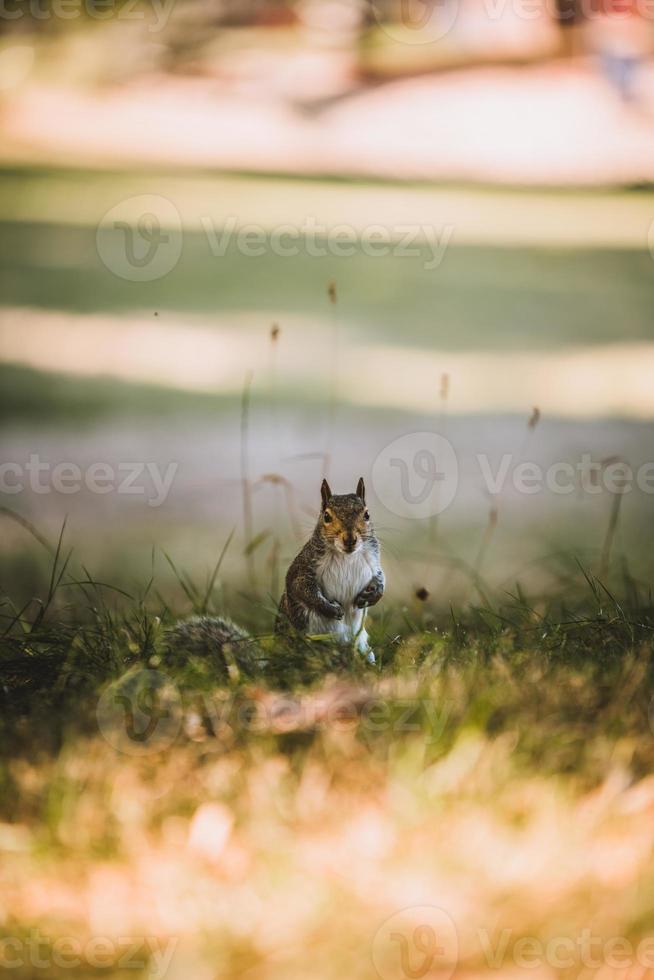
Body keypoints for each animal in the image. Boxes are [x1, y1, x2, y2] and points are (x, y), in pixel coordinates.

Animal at [276, 478, 384, 664]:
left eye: (367, 515)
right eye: (326, 516)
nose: (349, 539)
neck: (346, 556)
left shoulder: (373, 564)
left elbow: (380, 579)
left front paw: (372, 595)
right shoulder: (303, 568)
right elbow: (302, 589)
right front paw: (330, 609)